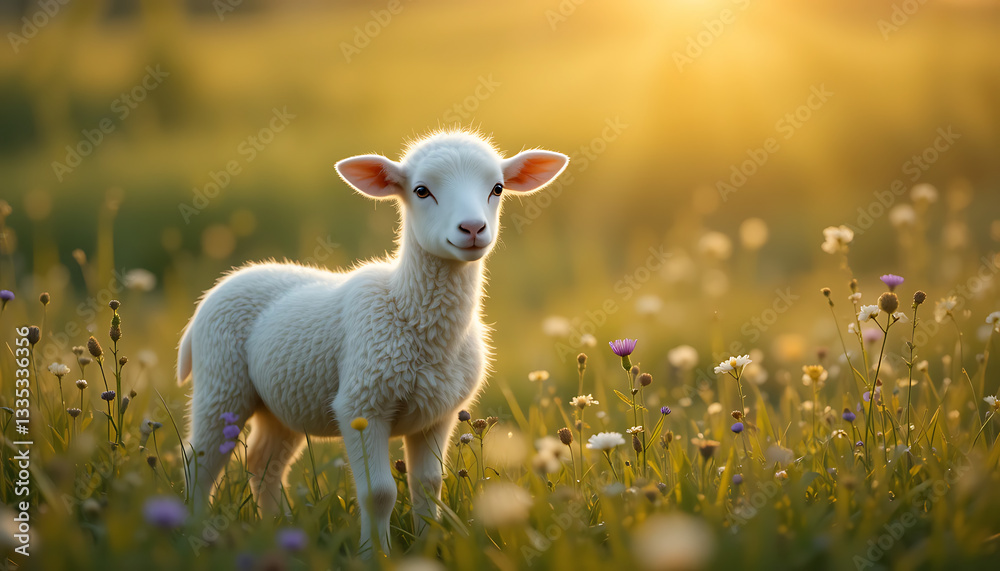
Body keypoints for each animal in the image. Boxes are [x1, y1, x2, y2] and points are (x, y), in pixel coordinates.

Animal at [177, 129, 569, 554]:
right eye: (421, 190)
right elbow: (378, 494)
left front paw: (427, 549)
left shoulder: (437, 413)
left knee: (264, 462)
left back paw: (278, 530)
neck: (412, 316)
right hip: (222, 383)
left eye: (497, 188)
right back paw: (192, 532)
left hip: (280, 402)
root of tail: (219, 288)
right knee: (200, 461)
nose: (473, 229)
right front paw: (375, 555)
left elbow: (427, 486)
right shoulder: (363, 406)